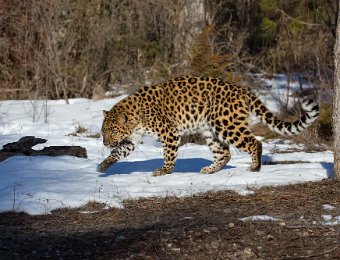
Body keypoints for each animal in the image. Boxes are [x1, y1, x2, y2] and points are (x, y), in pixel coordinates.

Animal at [98, 75, 318, 177]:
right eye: (103, 132)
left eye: (112, 131)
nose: (105, 143)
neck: (135, 118)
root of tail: (243, 90)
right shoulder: (132, 139)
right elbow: (119, 152)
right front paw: (103, 165)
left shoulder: (170, 133)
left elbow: (169, 155)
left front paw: (164, 171)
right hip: (210, 130)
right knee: (224, 153)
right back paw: (210, 170)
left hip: (227, 125)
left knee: (254, 142)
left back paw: (255, 167)